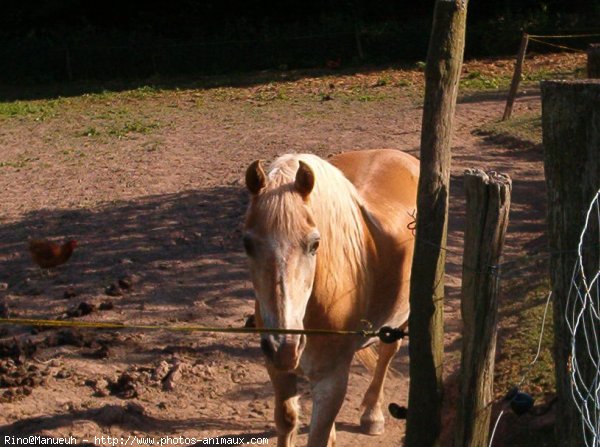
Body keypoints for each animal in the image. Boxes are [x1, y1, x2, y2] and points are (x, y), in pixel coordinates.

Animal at [243, 150, 418, 447]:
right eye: (247, 244)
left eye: (315, 244)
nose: (283, 346)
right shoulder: (277, 370)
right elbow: (287, 421)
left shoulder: (332, 381)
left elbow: (319, 435)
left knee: (387, 353)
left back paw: (373, 415)